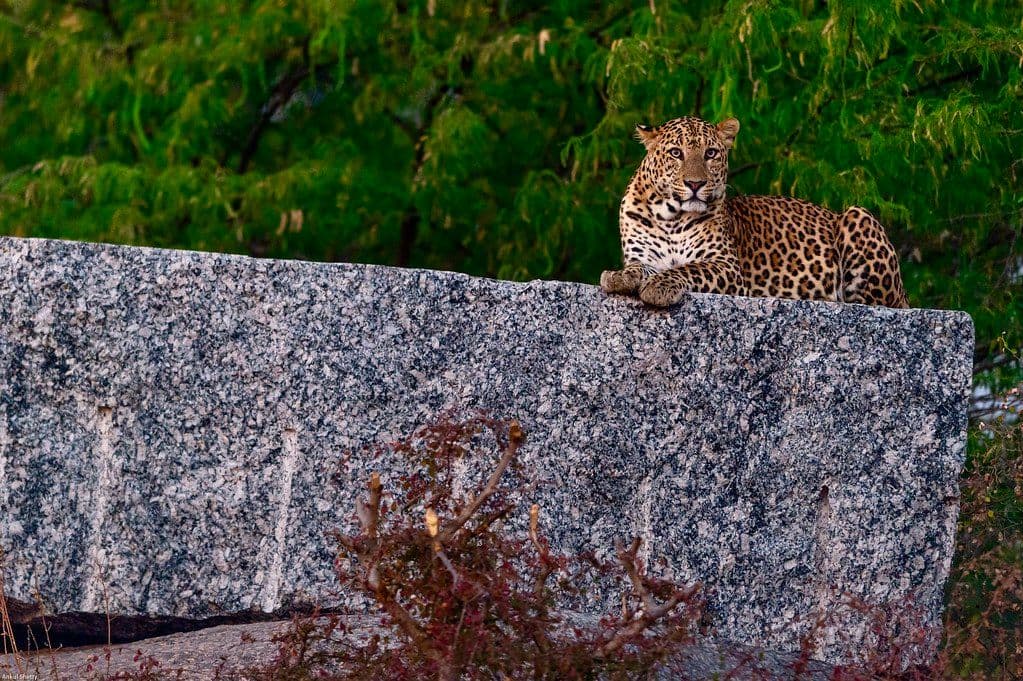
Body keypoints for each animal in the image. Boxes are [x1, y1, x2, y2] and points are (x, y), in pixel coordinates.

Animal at [600, 115, 909, 309]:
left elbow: (688, 268)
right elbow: (639, 267)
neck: (671, 217)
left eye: (710, 153)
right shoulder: (644, 255)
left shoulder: (725, 265)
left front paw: (661, 286)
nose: (695, 184)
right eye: (676, 153)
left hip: (859, 216)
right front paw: (619, 276)